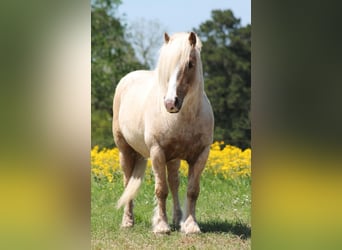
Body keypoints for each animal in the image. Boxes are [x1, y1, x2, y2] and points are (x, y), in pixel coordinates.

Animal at [112, 31, 214, 234]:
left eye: (190, 64)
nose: (170, 103)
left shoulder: (201, 154)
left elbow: (192, 190)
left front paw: (190, 225)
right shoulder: (157, 152)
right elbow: (161, 190)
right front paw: (161, 226)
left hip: (173, 158)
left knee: (174, 182)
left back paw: (177, 218)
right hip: (125, 151)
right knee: (127, 183)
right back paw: (127, 221)